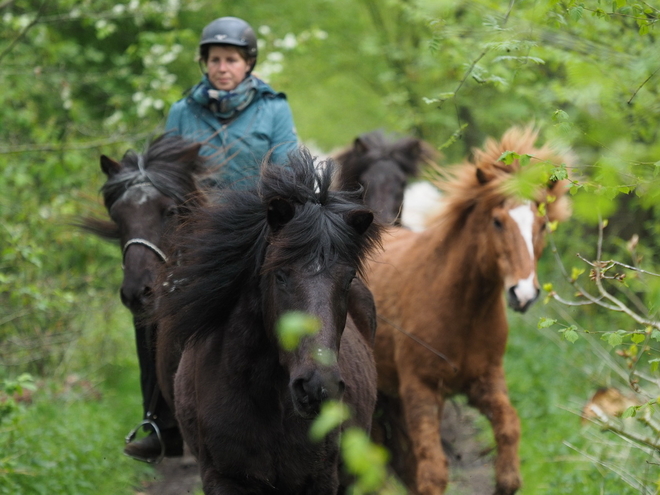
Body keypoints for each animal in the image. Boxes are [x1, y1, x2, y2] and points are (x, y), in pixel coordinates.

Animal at [155, 148, 382, 495]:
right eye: (280, 275)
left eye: (348, 278)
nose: (318, 387)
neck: (270, 402)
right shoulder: (223, 479)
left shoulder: (321, 481)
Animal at [366, 128, 572, 495]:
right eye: (497, 221)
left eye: (542, 225)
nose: (524, 294)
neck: (463, 312)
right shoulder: (420, 389)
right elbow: (433, 473)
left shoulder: (485, 381)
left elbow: (509, 428)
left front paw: (505, 480)